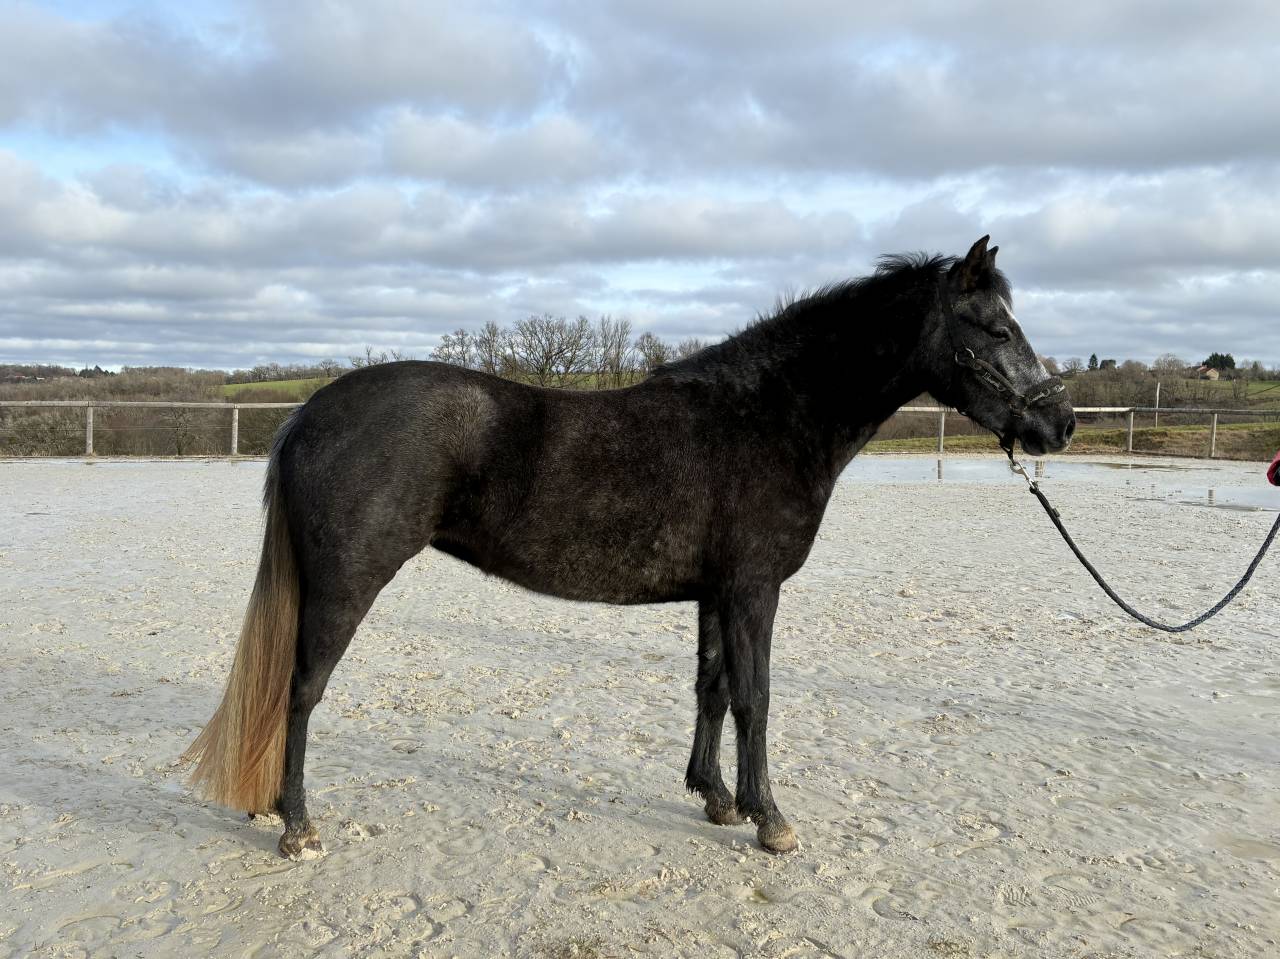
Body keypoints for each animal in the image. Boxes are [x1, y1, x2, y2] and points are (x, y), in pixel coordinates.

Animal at [182, 236, 1076, 859]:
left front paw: (716, 797)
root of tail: (309, 411)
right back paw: (299, 825)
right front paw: (771, 820)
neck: (767, 415)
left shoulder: (716, 591)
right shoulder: (754, 589)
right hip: (345, 585)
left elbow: (712, 688)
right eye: (995, 327)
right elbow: (757, 697)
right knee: (302, 692)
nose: (1058, 423)